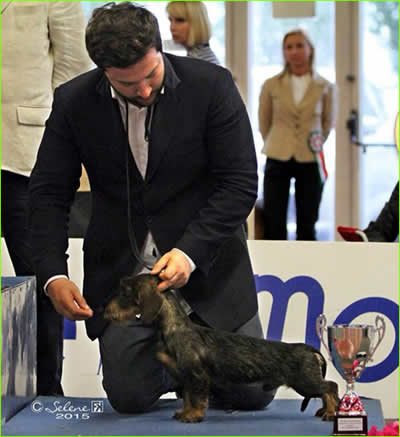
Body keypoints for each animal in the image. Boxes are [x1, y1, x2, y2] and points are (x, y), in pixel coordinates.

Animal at [104, 273, 339, 423]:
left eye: (124, 292)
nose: (104, 310)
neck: (174, 327)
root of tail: (309, 350)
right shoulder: (186, 376)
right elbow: (187, 396)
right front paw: (185, 413)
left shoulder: (196, 375)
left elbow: (196, 397)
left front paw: (193, 416)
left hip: (305, 382)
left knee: (330, 387)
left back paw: (331, 412)